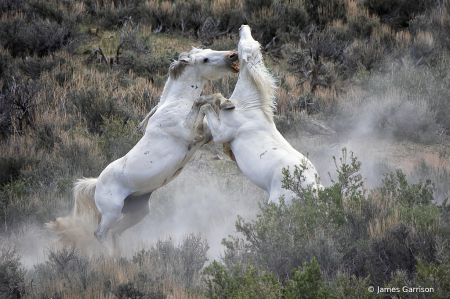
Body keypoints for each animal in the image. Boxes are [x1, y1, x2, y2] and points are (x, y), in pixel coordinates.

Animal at [192, 25, 322, 204]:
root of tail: (314, 190)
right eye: (253, 41)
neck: (247, 105)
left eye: (241, 45)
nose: (243, 27)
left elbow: (206, 107)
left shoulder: (222, 133)